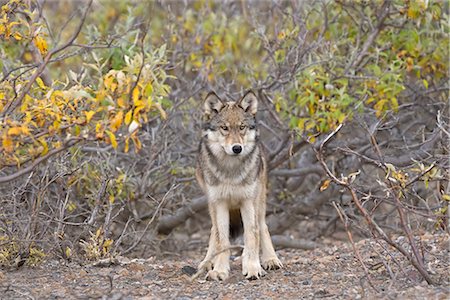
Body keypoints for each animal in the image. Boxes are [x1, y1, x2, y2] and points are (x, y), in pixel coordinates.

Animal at [196, 90, 284, 280]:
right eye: (225, 128)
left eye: (242, 127)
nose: (237, 148)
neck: (231, 171)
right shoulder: (220, 203)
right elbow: (222, 240)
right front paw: (220, 270)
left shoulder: (248, 202)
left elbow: (252, 235)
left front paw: (252, 268)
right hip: (211, 203)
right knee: (214, 230)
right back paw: (207, 262)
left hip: (259, 200)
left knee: (262, 226)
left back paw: (271, 259)